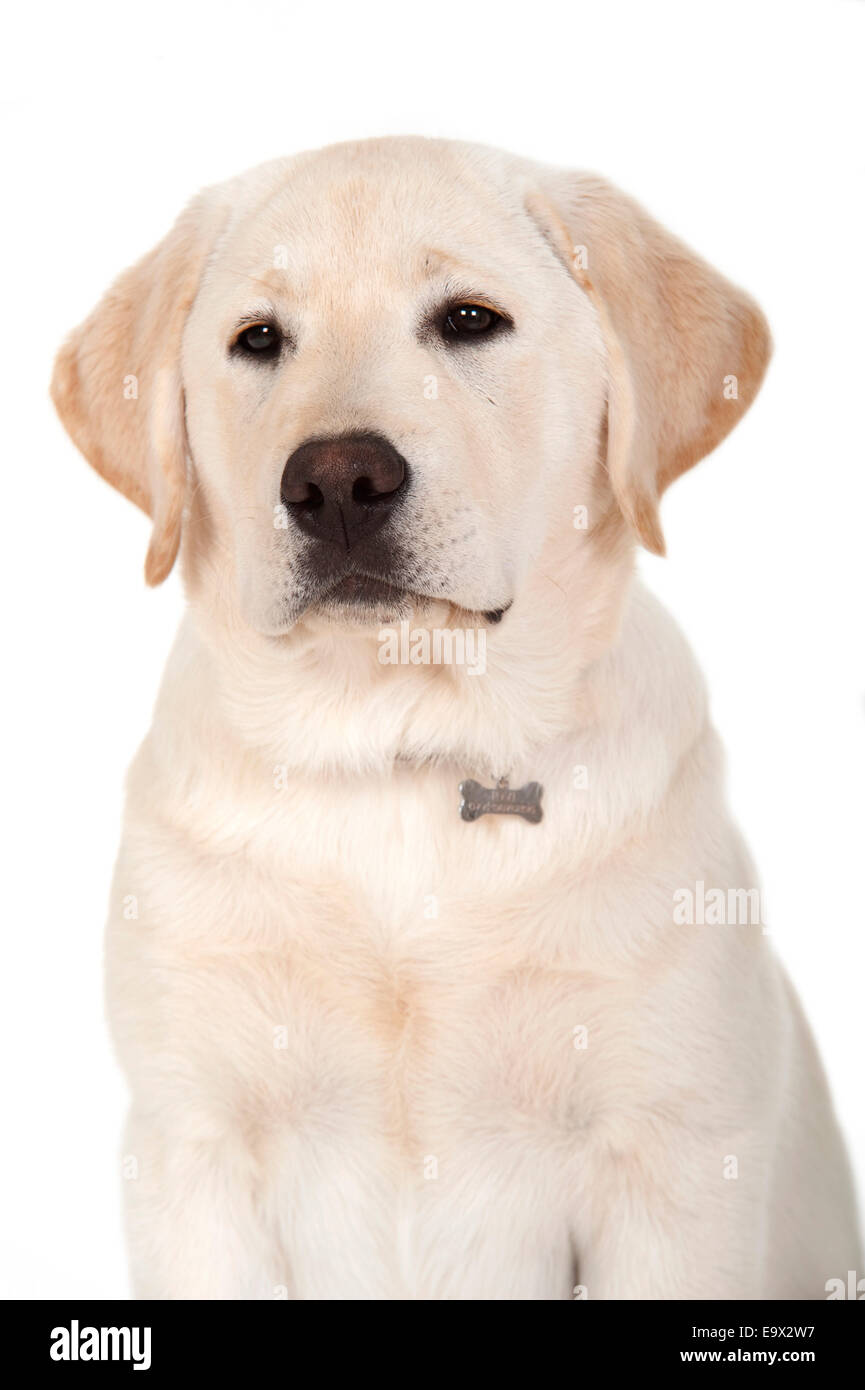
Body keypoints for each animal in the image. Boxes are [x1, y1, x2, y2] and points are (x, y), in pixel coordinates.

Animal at [52, 135, 862, 1295]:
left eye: (470, 320)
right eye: (258, 339)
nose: (336, 480)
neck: (400, 745)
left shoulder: (670, 1161)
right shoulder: (193, 1147)